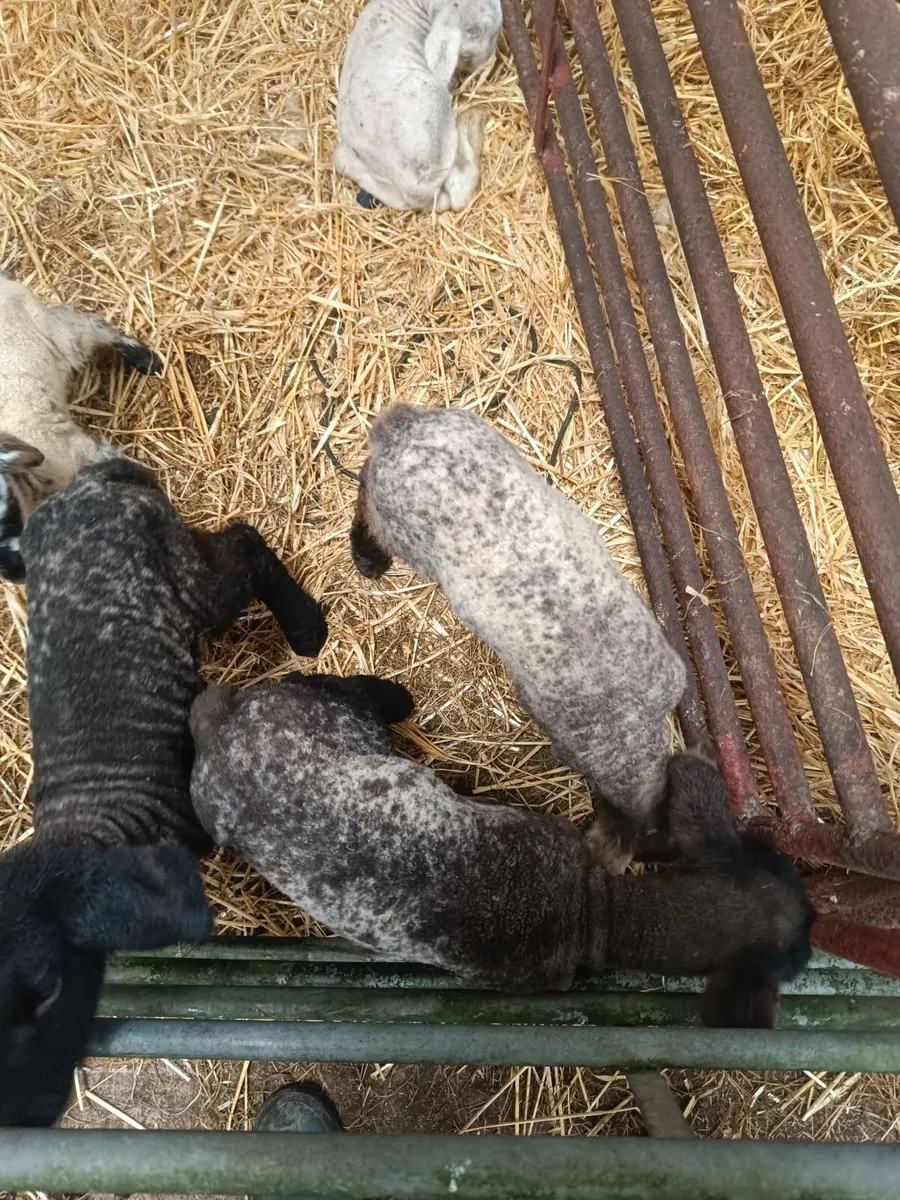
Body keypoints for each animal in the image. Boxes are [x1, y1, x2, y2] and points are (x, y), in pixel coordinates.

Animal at [0, 271, 164, 583]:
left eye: (5, 513)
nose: (16, 575)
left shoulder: (81, 453)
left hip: (57, 335)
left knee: (89, 324)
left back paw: (144, 358)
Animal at [0, 456, 327, 1127]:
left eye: (49, 989)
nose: (33, 1111)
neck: (95, 824)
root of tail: (89, 481)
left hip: (185, 575)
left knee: (243, 546)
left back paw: (306, 628)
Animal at [189, 673, 814, 1024]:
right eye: (799, 949)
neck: (592, 909)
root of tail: (225, 732)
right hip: (326, 723)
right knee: (332, 688)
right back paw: (391, 696)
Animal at [333, 0, 502, 212]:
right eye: (478, 30)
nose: (489, 61)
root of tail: (413, 189)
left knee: (341, 160)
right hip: (434, 102)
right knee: (456, 196)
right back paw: (471, 121)